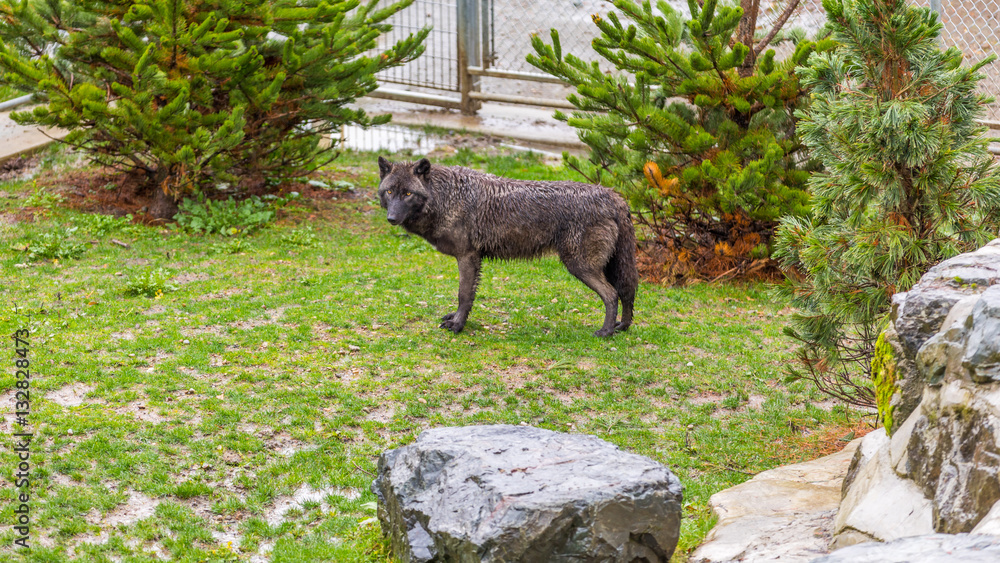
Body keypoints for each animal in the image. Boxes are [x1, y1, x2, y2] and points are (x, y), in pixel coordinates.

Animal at [377, 156, 638, 337]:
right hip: (607, 266)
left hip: (580, 266)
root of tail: (614, 196)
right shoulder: (473, 258)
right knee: (627, 291)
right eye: (389, 191)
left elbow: (464, 295)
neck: (447, 196)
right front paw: (457, 318)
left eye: (408, 194)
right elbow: (467, 296)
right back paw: (621, 327)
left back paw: (605, 332)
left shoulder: (468, 256)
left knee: (612, 294)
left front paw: (458, 325)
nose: (391, 218)